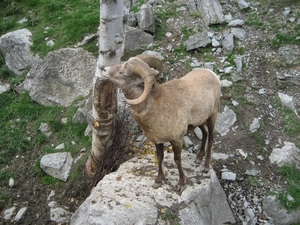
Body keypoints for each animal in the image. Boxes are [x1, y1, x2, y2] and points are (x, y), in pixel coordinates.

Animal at [102, 54, 221, 192]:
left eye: (123, 73)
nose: (104, 70)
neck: (155, 108)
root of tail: (212, 74)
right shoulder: (157, 141)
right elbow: (160, 157)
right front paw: (158, 181)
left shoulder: (177, 140)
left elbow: (177, 160)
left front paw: (181, 184)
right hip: (200, 121)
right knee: (205, 133)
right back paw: (198, 158)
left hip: (212, 115)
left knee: (211, 137)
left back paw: (205, 166)